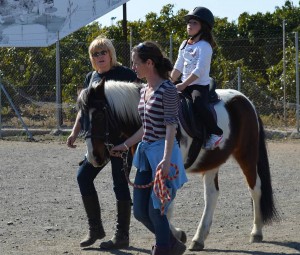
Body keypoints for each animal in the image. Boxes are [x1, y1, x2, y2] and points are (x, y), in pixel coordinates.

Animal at [77, 78, 278, 251]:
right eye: (82, 117)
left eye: (100, 115)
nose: (94, 157)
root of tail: (245, 101)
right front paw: (178, 235)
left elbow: (165, 207)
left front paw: (174, 237)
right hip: (213, 160)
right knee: (212, 195)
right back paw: (199, 238)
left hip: (247, 155)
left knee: (255, 188)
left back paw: (256, 232)